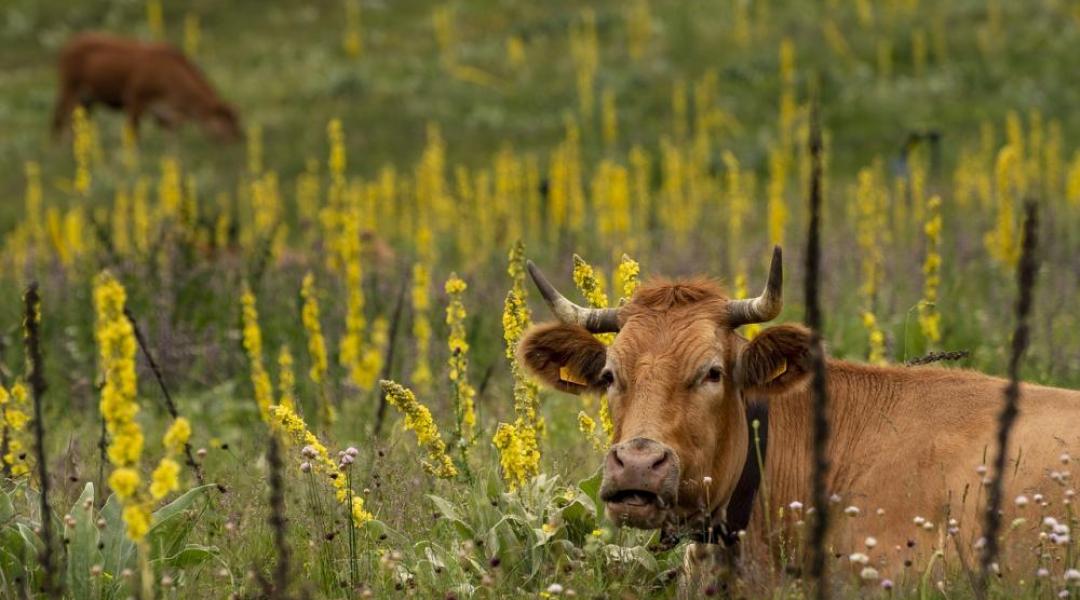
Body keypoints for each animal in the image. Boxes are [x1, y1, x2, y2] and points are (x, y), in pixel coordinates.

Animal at [52, 33, 243, 142]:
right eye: (229, 124)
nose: (240, 139)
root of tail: (70, 44)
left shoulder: (165, 115)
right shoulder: (135, 100)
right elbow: (134, 135)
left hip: (88, 101)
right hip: (69, 90)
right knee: (59, 119)